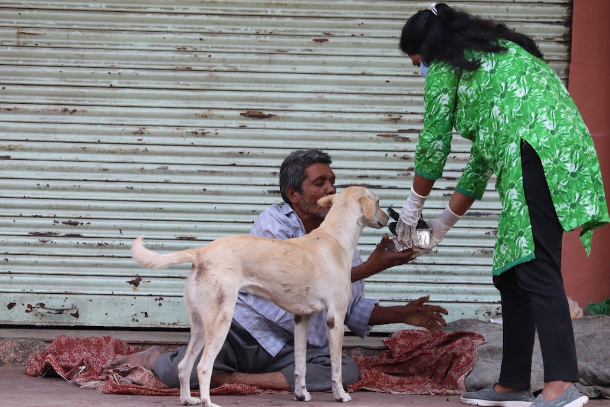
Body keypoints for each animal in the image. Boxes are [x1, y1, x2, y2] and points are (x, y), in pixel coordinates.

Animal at [130, 186, 388, 406]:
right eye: (378, 202)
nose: (389, 218)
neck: (335, 238)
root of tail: (201, 252)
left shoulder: (301, 319)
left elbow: (300, 365)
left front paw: (301, 394)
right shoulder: (335, 317)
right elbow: (336, 368)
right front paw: (340, 395)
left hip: (201, 324)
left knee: (184, 366)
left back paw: (188, 399)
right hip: (220, 321)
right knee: (203, 366)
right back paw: (207, 402)